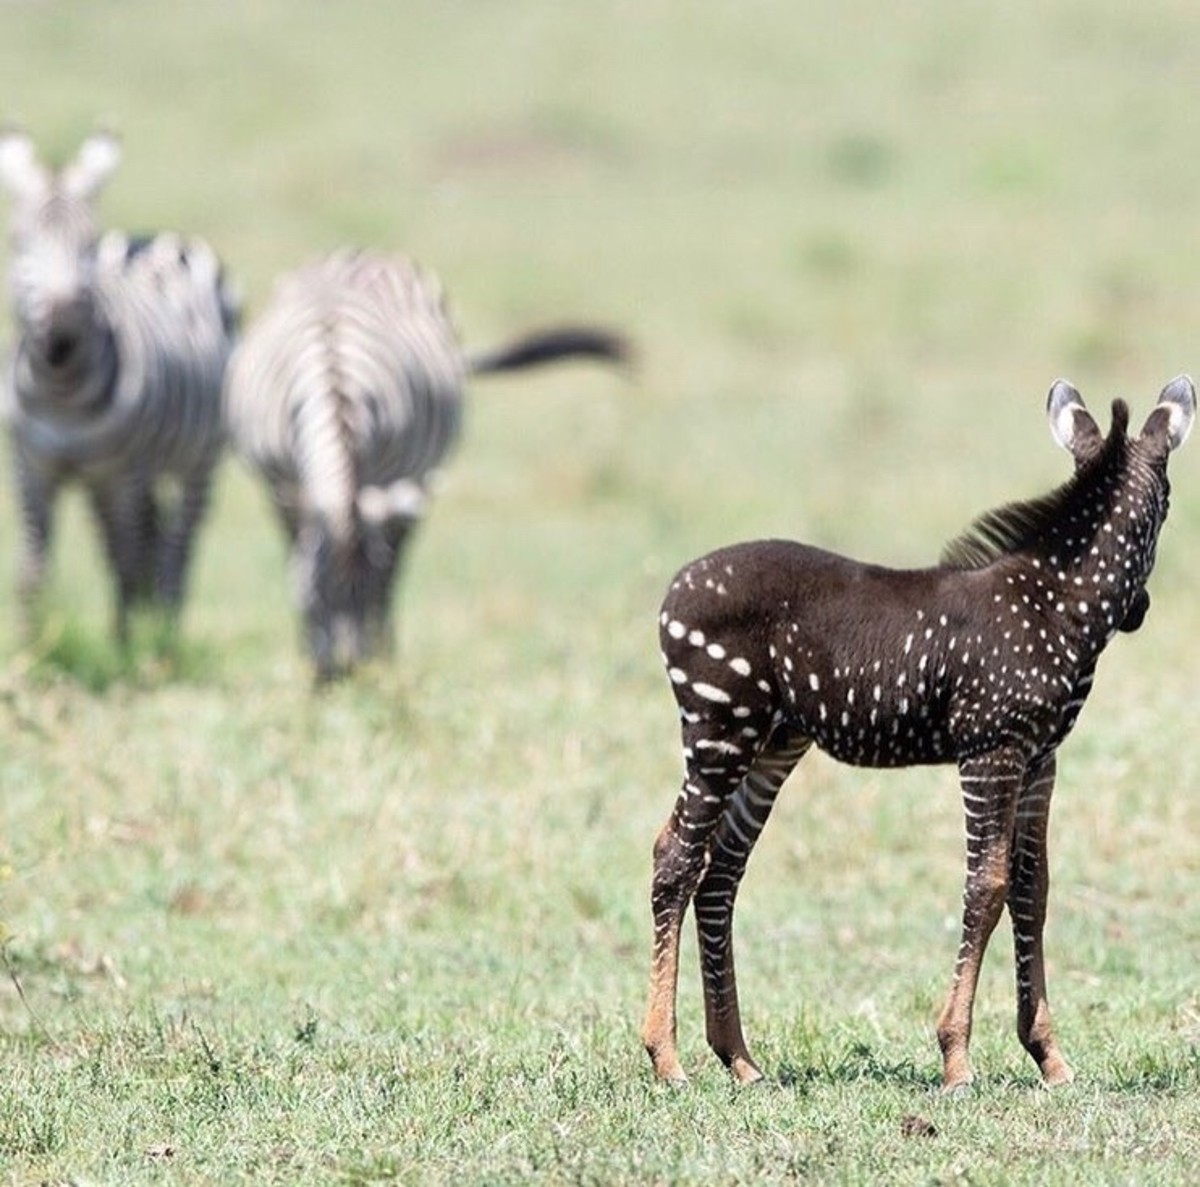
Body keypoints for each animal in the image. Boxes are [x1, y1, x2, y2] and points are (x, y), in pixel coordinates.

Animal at [0, 129, 238, 643]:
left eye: (88, 244)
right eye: (19, 241)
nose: (61, 335)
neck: (61, 393)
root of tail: (153, 236)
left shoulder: (122, 472)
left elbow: (125, 562)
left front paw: (126, 649)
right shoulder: (32, 467)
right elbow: (32, 571)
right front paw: (30, 647)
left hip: (198, 458)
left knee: (175, 547)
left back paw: (166, 629)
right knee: (145, 538)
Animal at [225, 246, 633, 681]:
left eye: (365, 597)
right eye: (315, 598)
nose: (349, 673)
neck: (335, 388)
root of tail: (364, 253)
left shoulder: (388, 480)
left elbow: (386, 573)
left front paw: (377, 653)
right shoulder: (282, 483)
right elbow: (295, 556)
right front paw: (308, 653)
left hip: (418, 476)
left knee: (399, 557)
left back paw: (387, 649)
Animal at [643, 379, 1195, 1094]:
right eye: (1168, 507)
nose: (1142, 612)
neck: (1055, 606)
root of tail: (674, 588)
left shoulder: (1041, 759)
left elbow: (1033, 887)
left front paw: (1048, 1055)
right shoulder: (992, 749)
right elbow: (986, 886)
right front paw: (956, 1058)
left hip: (772, 744)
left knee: (719, 873)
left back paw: (738, 1058)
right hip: (718, 730)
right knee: (675, 860)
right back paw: (666, 1058)